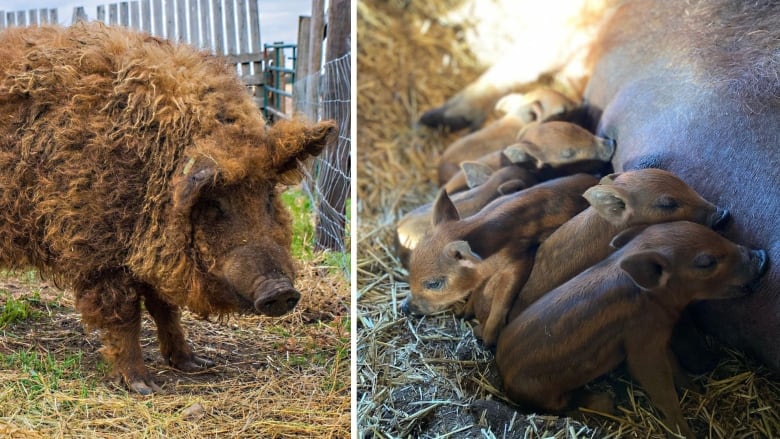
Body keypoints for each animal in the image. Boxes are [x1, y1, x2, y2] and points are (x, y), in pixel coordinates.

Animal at [402, 174, 596, 346]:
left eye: (434, 284)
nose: (404, 308)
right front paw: (463, 313)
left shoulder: (518, 259)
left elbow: (503, 297)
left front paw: (487, 341)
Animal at [496, 223, 764, 439]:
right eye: (706, 262)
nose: (761, 255)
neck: (652, 298)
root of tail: (503, 373)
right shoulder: (641, 346)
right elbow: (661, 388)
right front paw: (685, 432)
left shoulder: (658, 340)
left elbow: (676, 367)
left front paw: (698, 391)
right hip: (543, 393)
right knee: (562, 406)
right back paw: (607, 402)